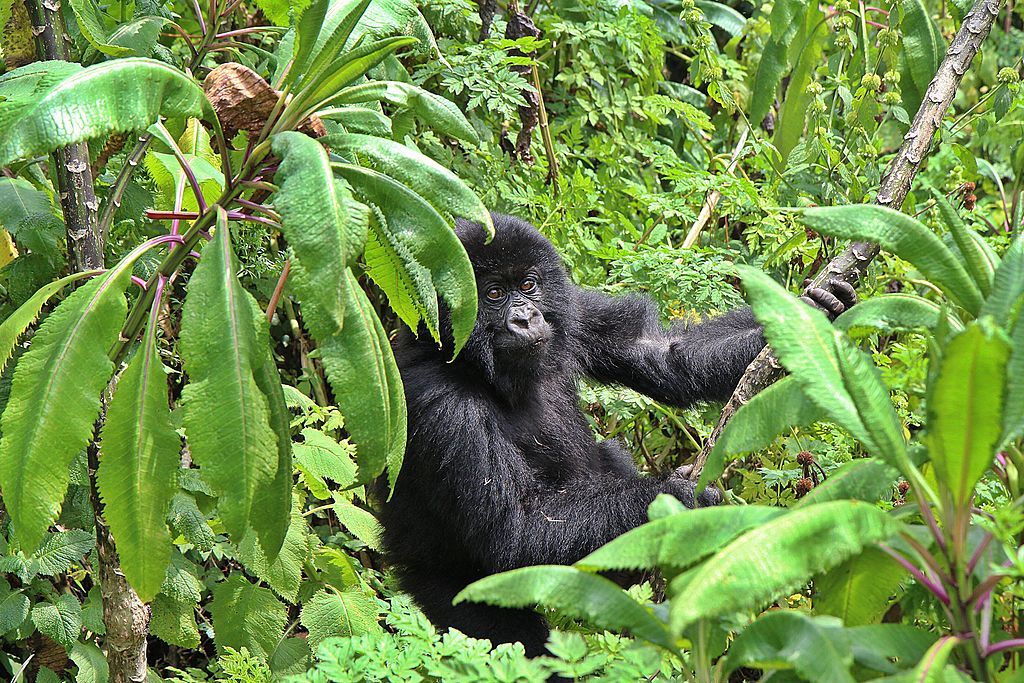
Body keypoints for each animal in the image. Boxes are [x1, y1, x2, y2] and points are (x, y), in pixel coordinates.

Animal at [380, 214, 851, 655]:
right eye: (493, 294)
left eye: (529, 285)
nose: (526, 318)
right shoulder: (444, 406)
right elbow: (516, 530)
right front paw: (682, 498)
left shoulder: (573, 310)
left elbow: (663, 354)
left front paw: (811, 312)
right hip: (436, 583)